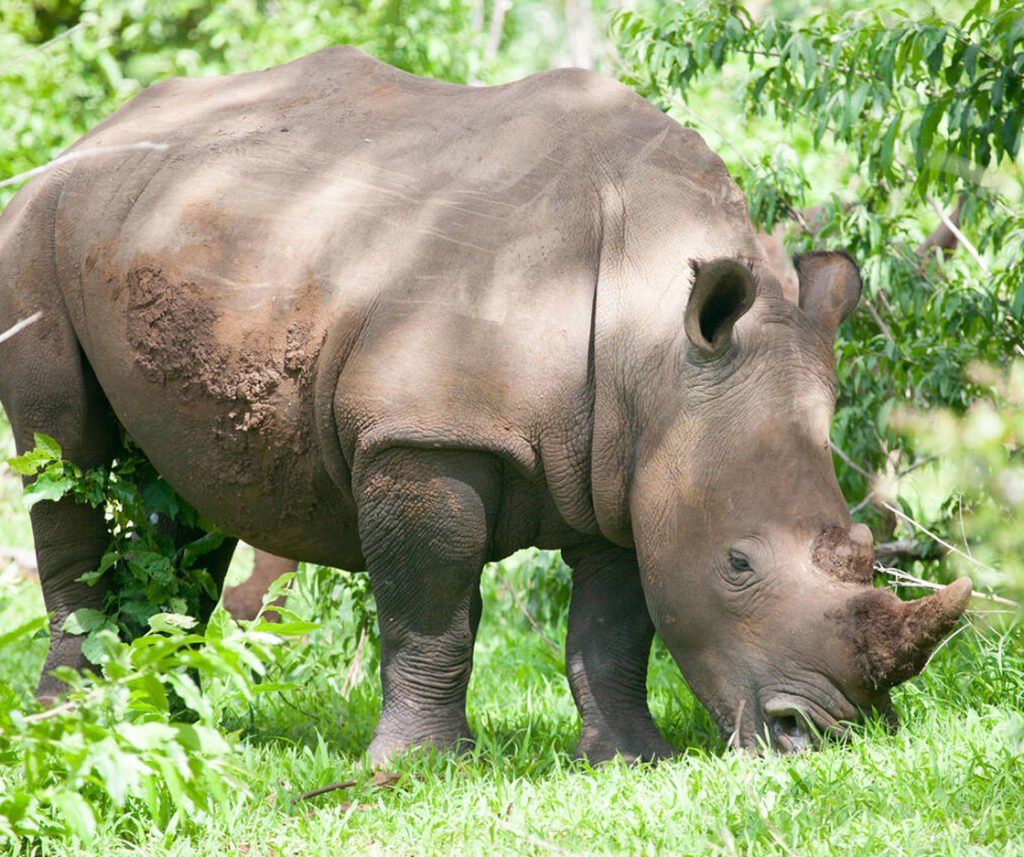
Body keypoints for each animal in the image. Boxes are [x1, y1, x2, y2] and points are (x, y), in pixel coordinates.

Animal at [0, 47, 971, 763]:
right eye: (738, 563)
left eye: (864, 548)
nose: (823, 737)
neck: (654, 336)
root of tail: (94, 131)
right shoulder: (425, 432)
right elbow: (428, 611)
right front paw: (416, 767)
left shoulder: (629, 458)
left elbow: (614, 625)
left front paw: (629, 759)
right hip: (37, 222)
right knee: (65, 458)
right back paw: (70, 719)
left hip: (175, 229)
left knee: (186, 489)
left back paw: (164, 718)